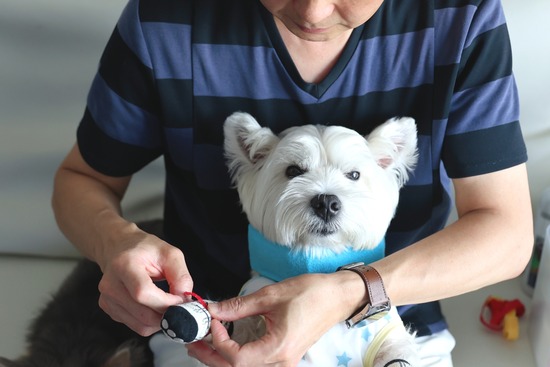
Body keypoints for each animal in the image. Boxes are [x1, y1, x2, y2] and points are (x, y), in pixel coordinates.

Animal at [157, 113, 420, 367]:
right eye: (293, 171)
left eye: (354, 175)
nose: (326, 203)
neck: (316, 257)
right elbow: (240, 327)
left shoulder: (388, 338)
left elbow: (397, 355)